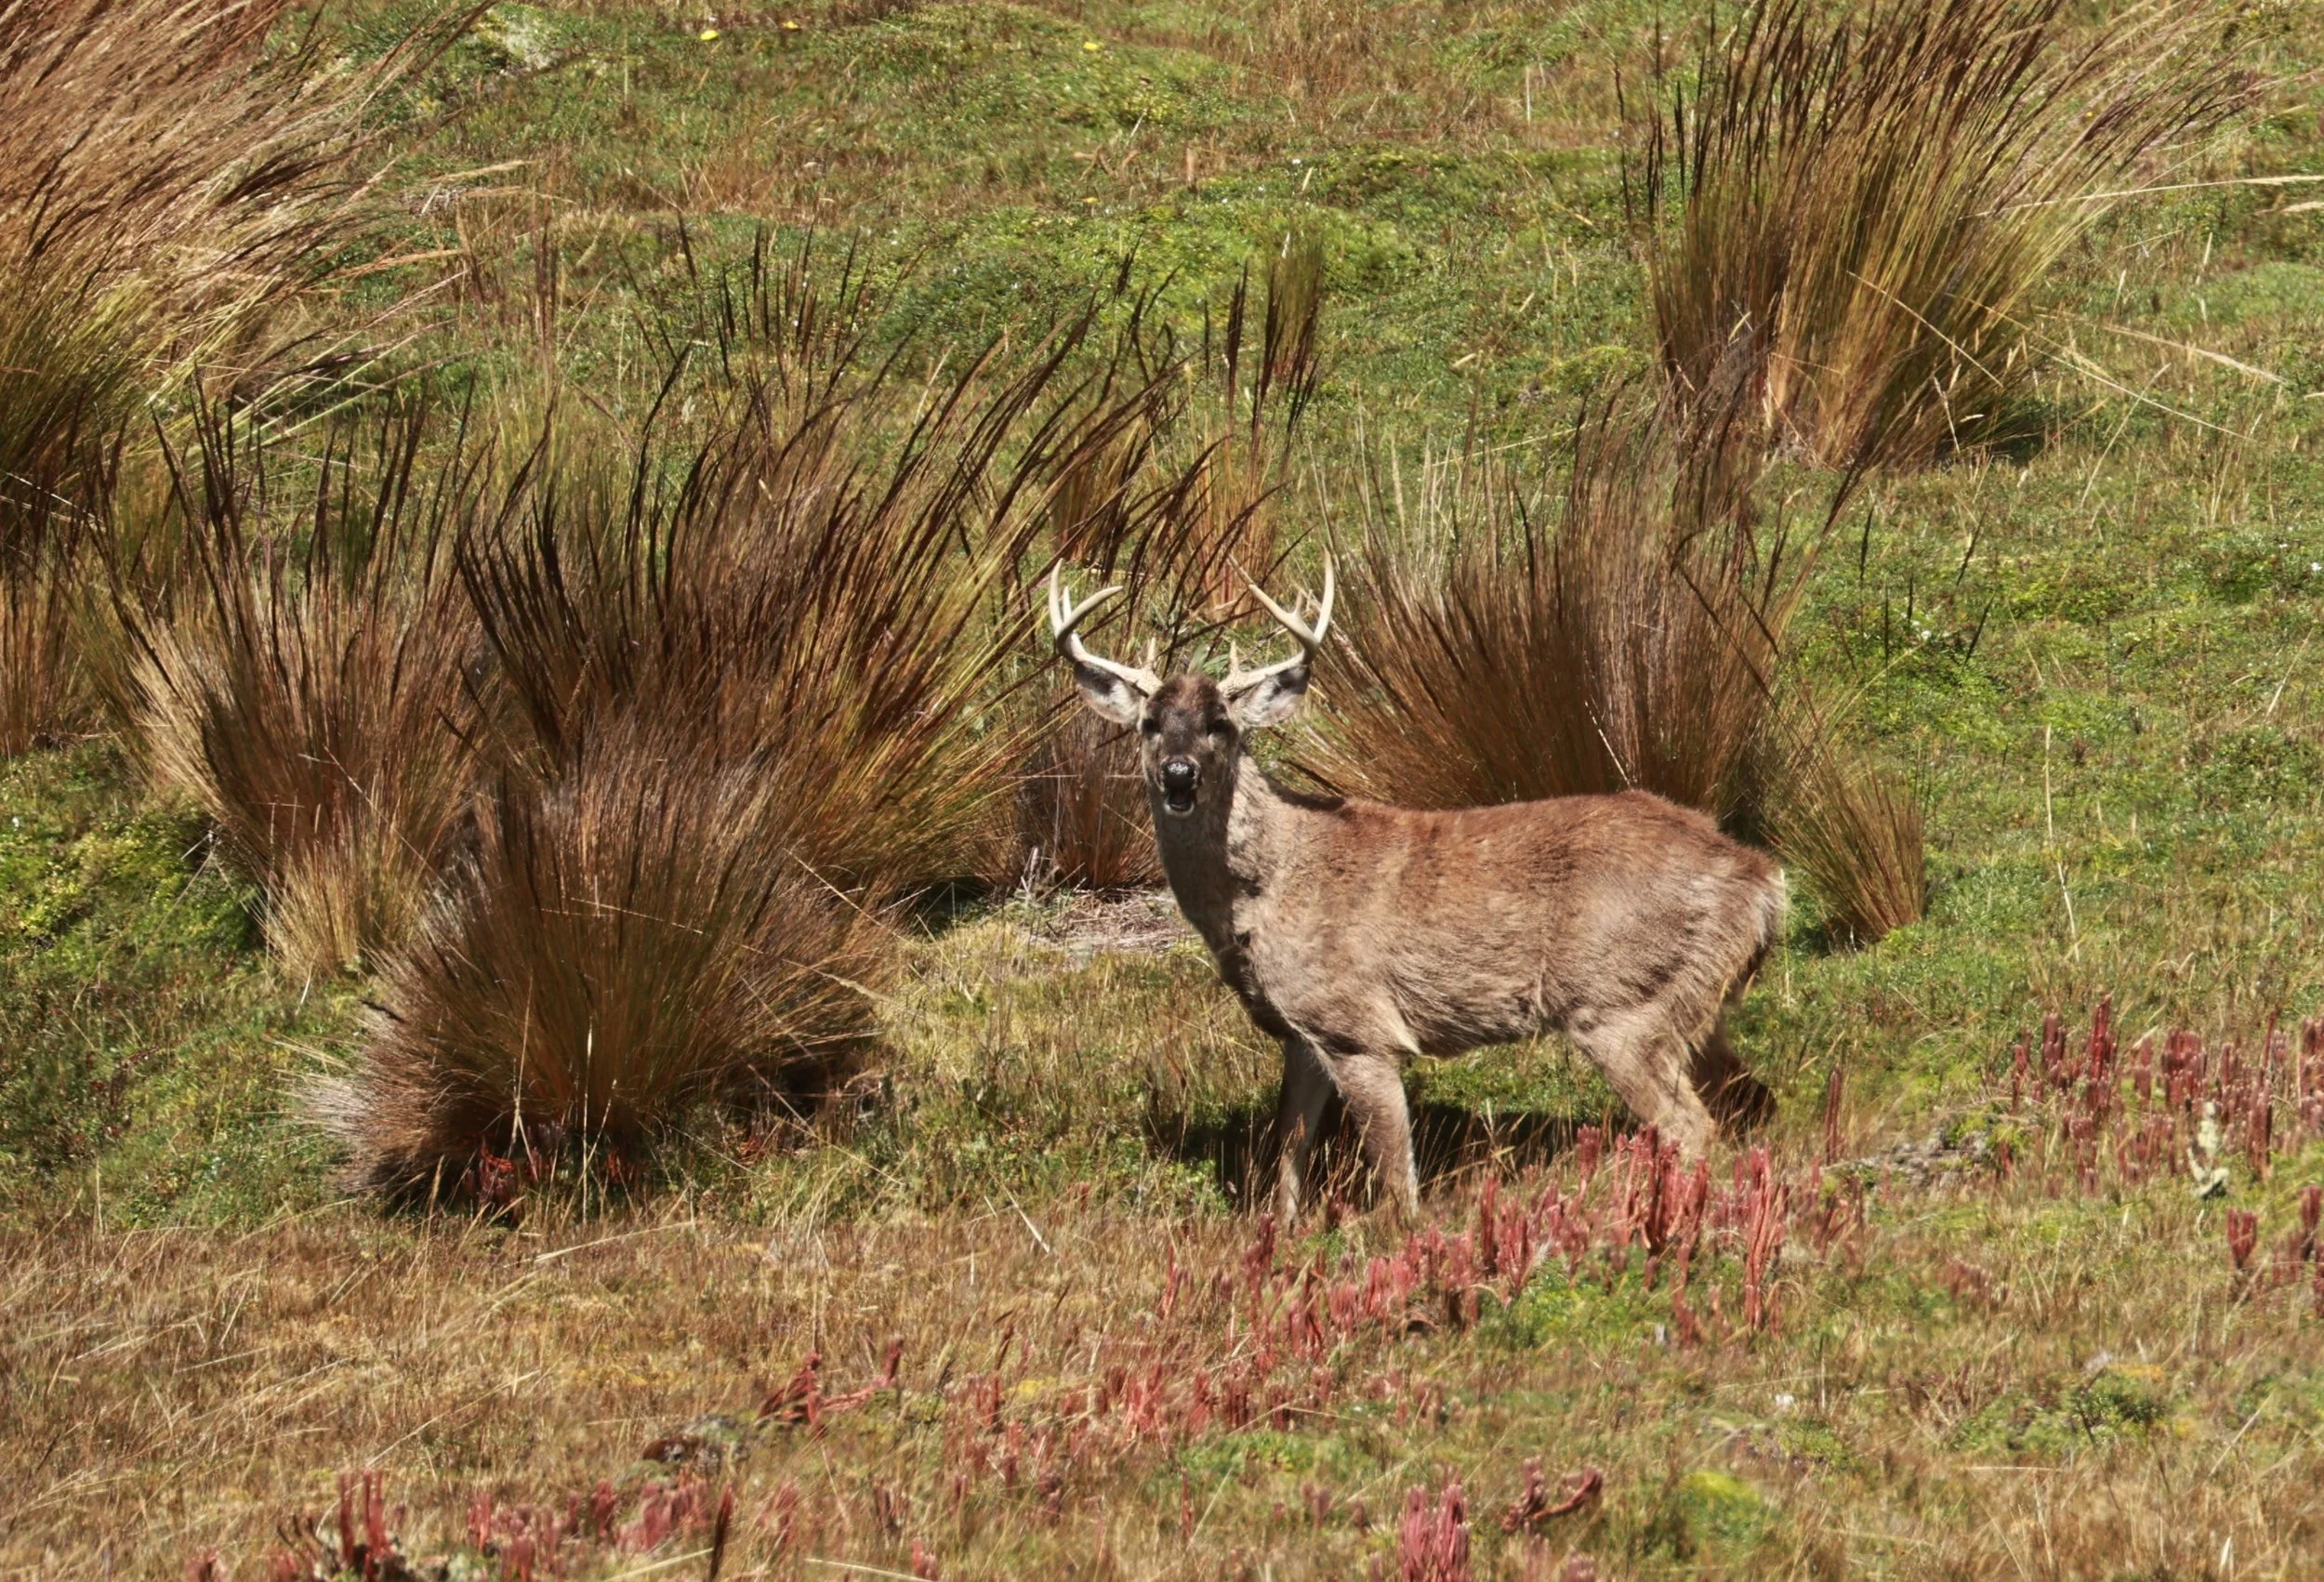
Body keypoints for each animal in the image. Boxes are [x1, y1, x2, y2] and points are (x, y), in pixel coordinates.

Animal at [1049, 560, 1784, 1224]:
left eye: (1220, 724)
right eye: (1150, 723)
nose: (1179, 775)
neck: (1270, 887)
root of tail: (1761, 882)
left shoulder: (1360, 1027)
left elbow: (1394, 1172)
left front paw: (1395, 1244)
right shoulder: (1302, 1032)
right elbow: (1289, 1148)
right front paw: (1280, 1235)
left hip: (1622, 1002)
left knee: (1694, 1128)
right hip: (1692, 1004)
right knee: (1754, 1103)